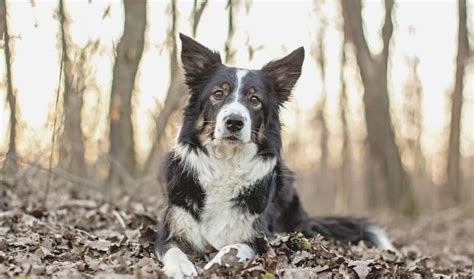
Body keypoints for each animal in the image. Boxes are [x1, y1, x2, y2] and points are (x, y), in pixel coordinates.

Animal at [155, 34, 392, 278]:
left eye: (254, 99)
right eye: (218, 94)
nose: (234, 122)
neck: (226, 163)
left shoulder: (258, 236)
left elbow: (233, 247)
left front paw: (217, 264)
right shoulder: (169, 230)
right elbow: (173, 250)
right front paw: (182, 268)